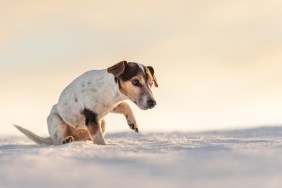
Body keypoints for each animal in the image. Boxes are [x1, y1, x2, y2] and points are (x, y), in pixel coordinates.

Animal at [14, 61, 159, 145]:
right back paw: (65, 140)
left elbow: (125, 105)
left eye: (151, 83)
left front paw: (132, 122)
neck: (109, 90)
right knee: (56, 141)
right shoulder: (92, 119)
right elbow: (99, 140)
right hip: (55, 121)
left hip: (103, 123)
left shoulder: (110, 108)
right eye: (135, 81)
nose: (153, 103)